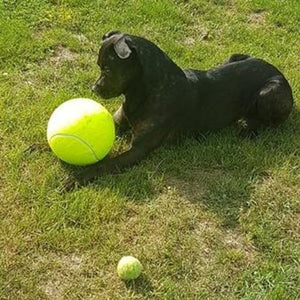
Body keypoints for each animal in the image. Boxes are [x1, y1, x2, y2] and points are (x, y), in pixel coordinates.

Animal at [61, 30, 292, 190]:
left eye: (107, 69)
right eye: (98, 65)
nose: (94, 89)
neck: (144, 91)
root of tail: (279, 72)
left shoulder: (139, 149)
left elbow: (105, 165)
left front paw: (76, 178)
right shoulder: (118, 123)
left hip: (269, 92)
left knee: (272, 123)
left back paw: (247, 126)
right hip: (235, 56)